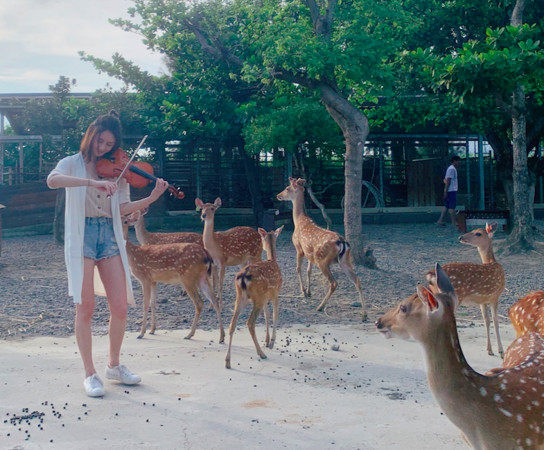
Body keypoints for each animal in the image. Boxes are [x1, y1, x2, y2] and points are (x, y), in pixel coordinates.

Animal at [124, 213, 225, 342]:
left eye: (126, 221)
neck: (133, 256)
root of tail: (206, 254)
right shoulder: (153, 280)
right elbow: (153, 302)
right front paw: (152, 330)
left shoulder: (144, 277)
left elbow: (145, 304)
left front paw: (141, 333)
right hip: (202, 277)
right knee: (214, 300)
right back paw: (221, 337)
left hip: (188, 277)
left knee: (199, 303)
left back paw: (189, 334)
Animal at [225, 225, 284, 370]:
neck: (273, 261)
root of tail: (243, 277)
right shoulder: (276, 293)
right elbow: (275, 314)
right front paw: (272, 342)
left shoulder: (266, 297)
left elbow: (267, 314)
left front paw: (267, 341)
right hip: (257, 298)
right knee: (250, 322)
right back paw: (261, 353)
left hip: (241, 297)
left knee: (232, 323)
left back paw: (228, 361)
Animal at [276, 178, 366, 318]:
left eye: (287, 188)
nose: (278, 195)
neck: (299, 221)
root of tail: (342, 242)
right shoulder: (309, 253)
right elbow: (308, 270)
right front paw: (309, 291)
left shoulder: (299, 248)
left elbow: (298, 269)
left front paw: (303, 292)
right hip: (344, 260)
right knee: (356, 279)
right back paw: (364, 314)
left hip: (322, 260)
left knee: (334, 283)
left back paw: (320, 306)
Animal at [424, 223, 506, 356]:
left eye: (478, 233)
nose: (460, 237)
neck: (492, 262)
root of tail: (431, 275)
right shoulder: (495, 295)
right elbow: (496, 321)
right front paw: (501, 350)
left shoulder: (483, 300)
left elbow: (487, 321)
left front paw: (489, 349)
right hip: (455, 296)